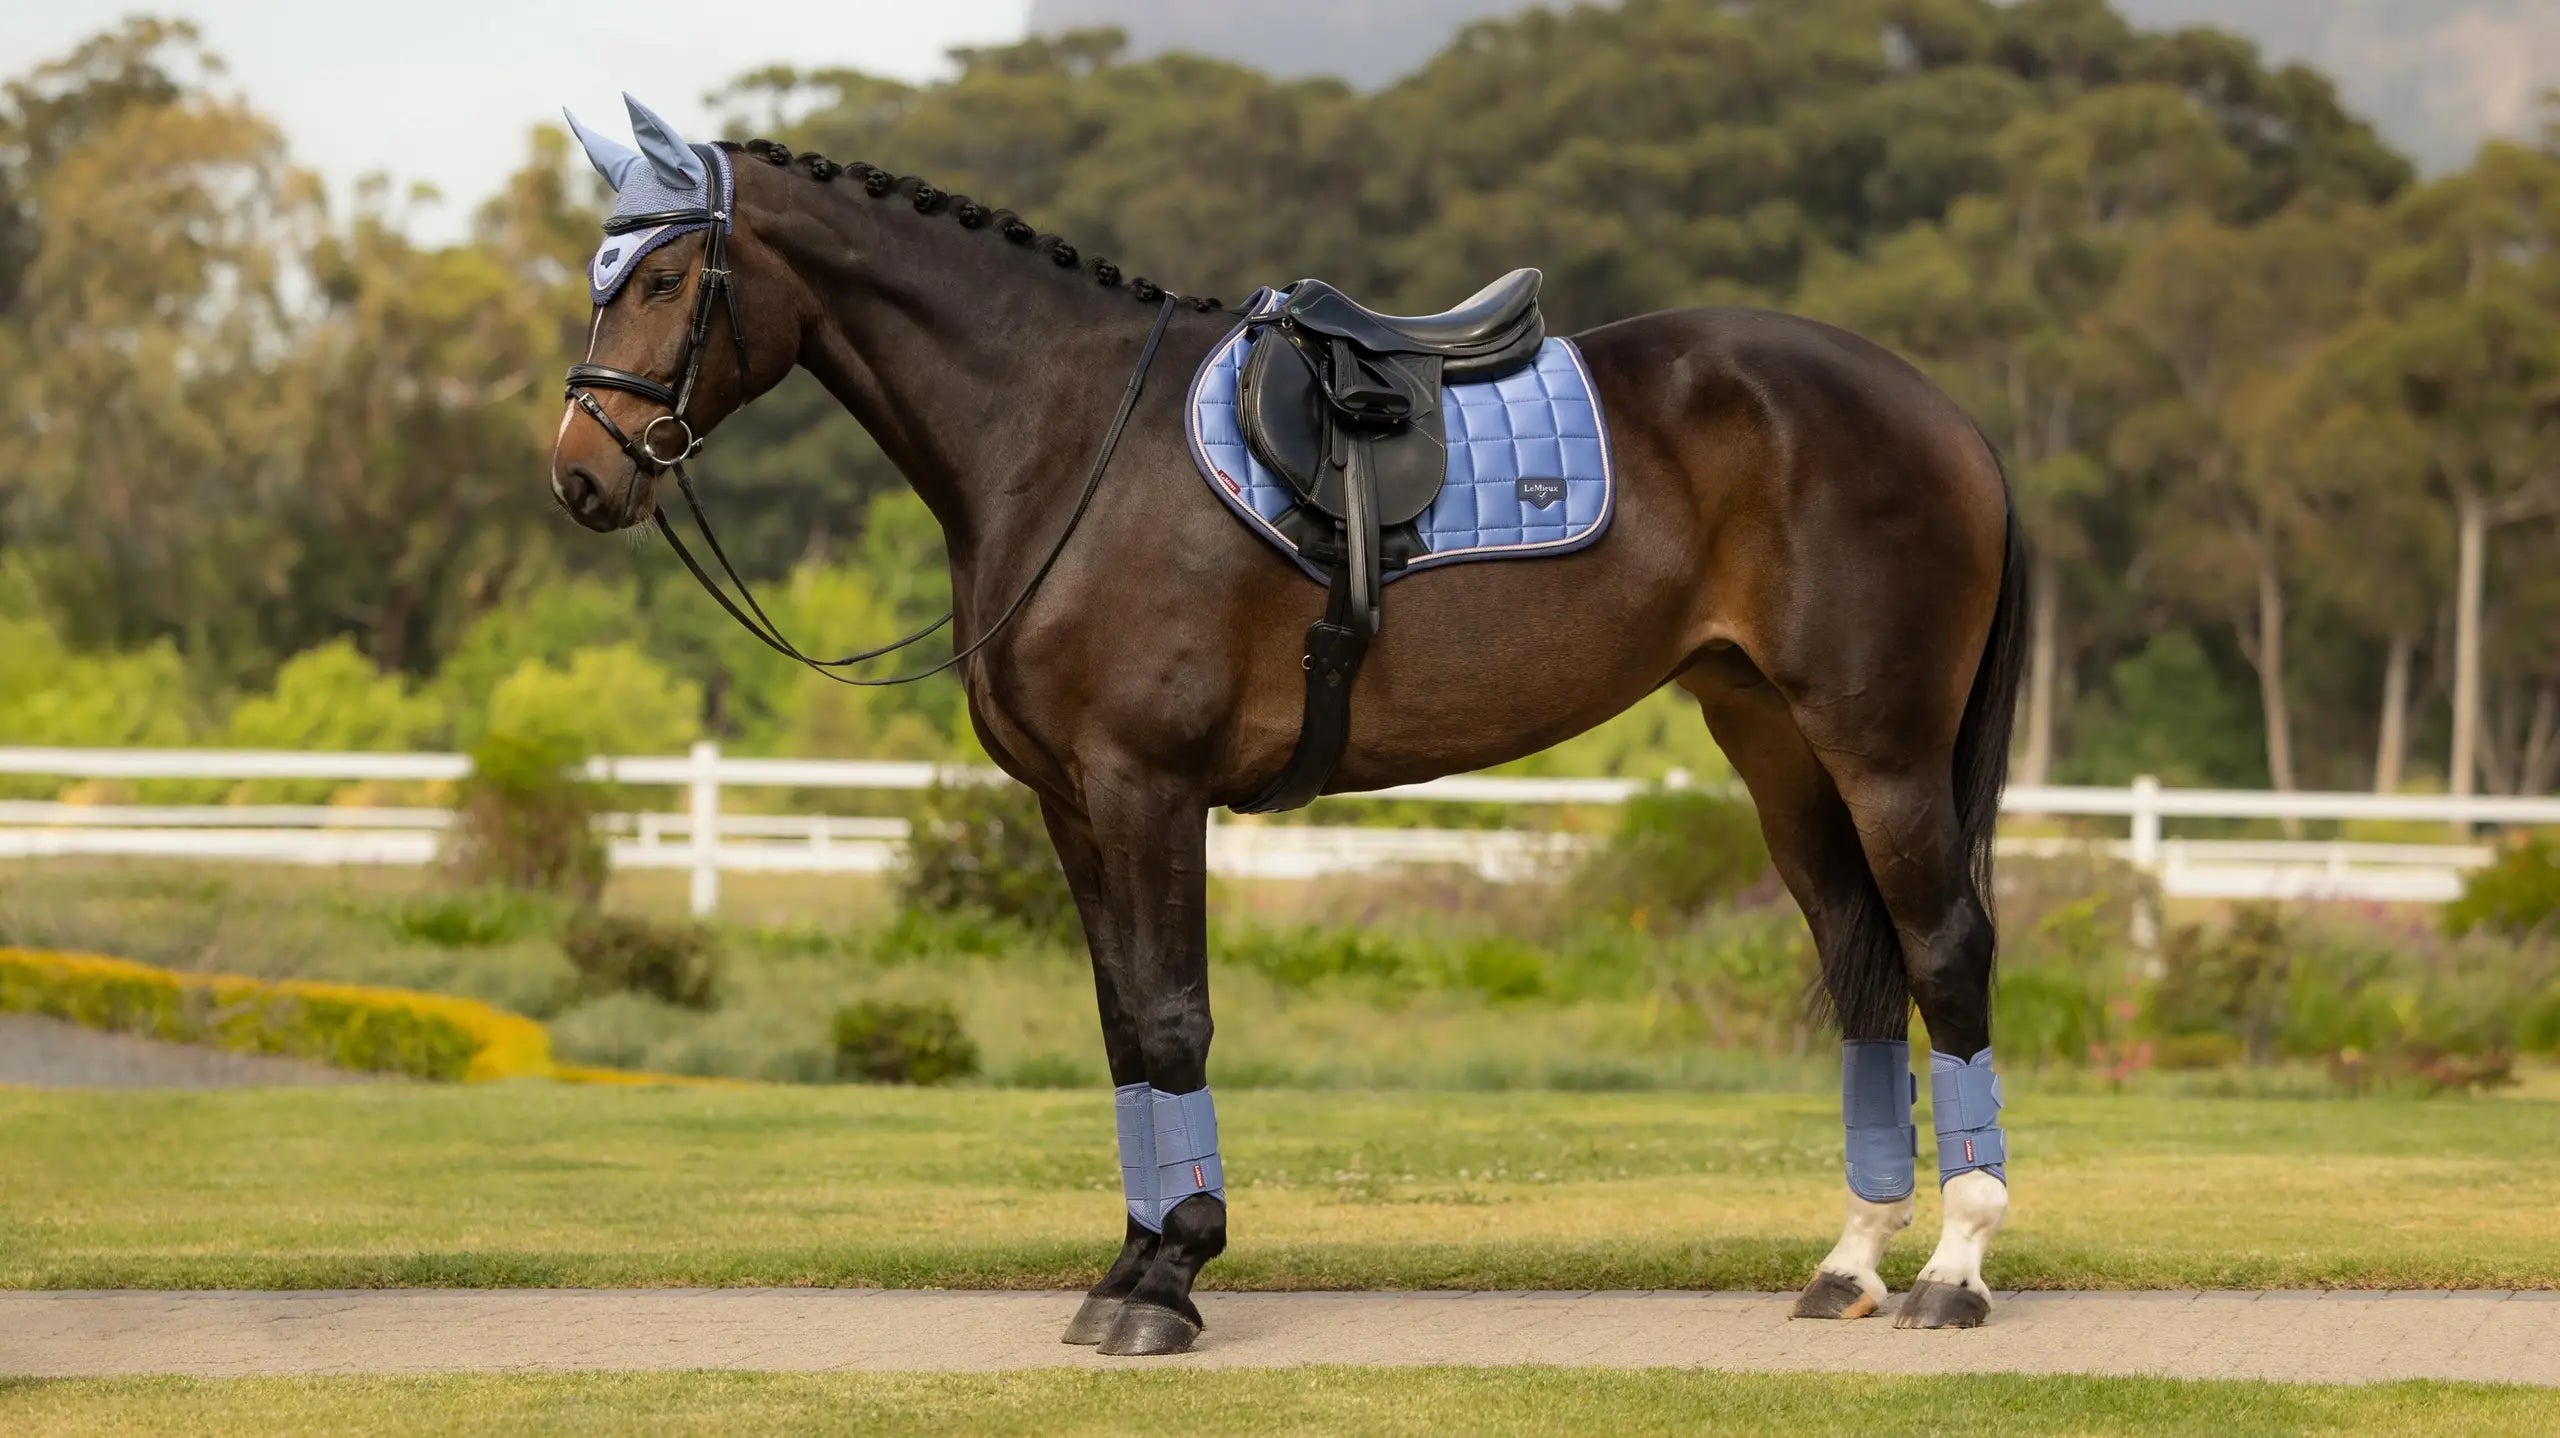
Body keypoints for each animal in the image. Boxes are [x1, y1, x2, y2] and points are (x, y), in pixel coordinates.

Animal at [549, 97, 2026, 1355]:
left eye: (666, 279)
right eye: (601, 274)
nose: (578, 475)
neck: (1067, 438)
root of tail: (1944, 412)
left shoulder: (1147, 787)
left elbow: (1171, 1020)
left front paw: (1172, 1277)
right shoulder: (1071, 803)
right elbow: (1122, 1030)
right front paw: (1128, 1267)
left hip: (1881, 748)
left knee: (1943, 949)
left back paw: (1952, 1269)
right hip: (1773, 740)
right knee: (1859, 958)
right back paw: (1849, 1259)